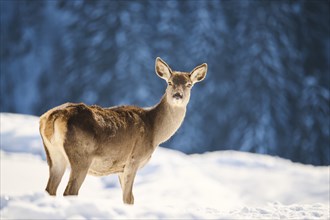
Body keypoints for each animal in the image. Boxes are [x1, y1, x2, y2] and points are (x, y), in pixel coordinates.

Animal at [39, 57, 206, 205]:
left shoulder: (120, 168)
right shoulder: (133, 159)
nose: (178, 95)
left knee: (49, 189)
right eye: (170, 82)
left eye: (189, 84)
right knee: (70, 191)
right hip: (81, 156)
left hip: (53, 155)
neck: (155, 132)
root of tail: (51, 117)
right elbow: (129, 199)